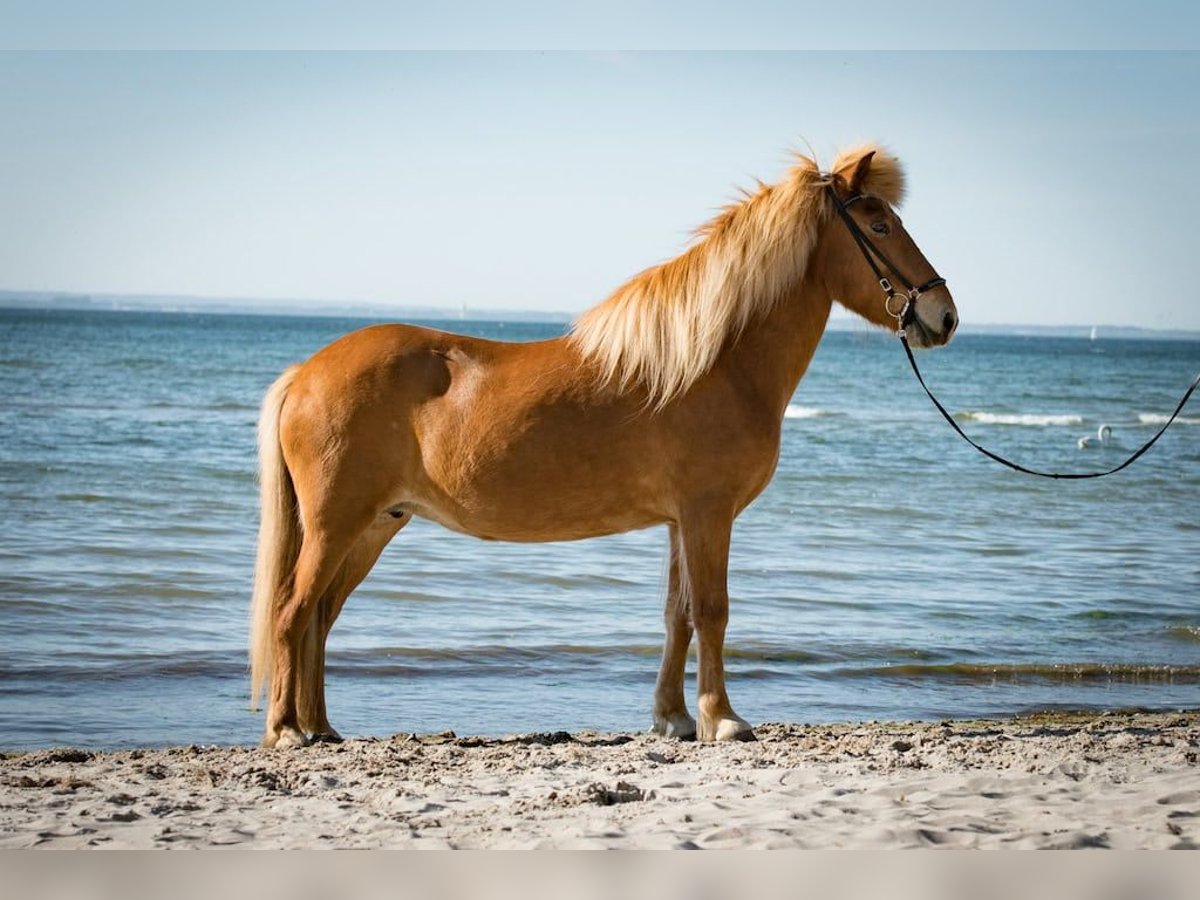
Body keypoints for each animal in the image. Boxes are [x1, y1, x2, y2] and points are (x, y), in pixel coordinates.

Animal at [249, 144, 958, 748]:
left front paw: (674, 719)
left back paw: (321, 727)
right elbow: (713, 610)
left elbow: (679, 616)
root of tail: (306, 373)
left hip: (374, 525)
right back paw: (287, 730)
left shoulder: (680, 520)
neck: (715, 362)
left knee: (319, 617)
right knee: (293, 611)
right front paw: (723, 719)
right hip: (337, 524)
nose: (944, 316)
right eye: (879, 225)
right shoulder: (708, 514)